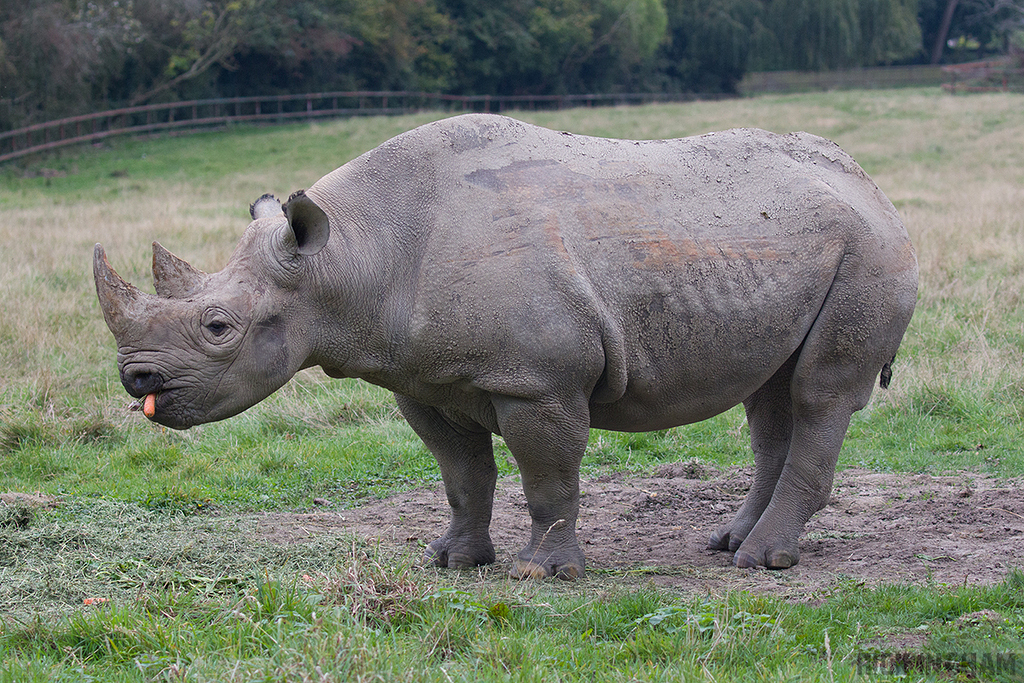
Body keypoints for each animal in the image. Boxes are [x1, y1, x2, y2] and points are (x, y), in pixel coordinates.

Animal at [94, 113, 917, 579]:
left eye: (218, 328)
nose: (135, 380)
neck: (349, 256)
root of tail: (875, 187)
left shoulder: (537, 379)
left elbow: (547, 477)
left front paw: (542, 574)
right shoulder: (422, 378)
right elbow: (462, 475)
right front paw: (452, 561)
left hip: (869, 252)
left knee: (818, 392)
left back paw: (761, 562)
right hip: (788, 244)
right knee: (769, 394)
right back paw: (728, 543)